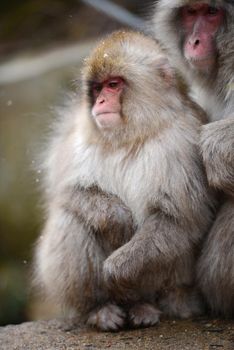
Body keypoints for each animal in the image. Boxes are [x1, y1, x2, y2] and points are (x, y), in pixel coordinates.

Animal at [34, 30, 216, 330]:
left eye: (114, 84)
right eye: (97, 88)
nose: (100, 103)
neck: (130, 135)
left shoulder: (185, 141)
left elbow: (179, 218)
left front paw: (116, 269)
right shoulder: (76, 133)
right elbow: (64, 192)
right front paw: (116, 218)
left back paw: (144, 306)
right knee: (70, 217)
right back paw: (97, 308)